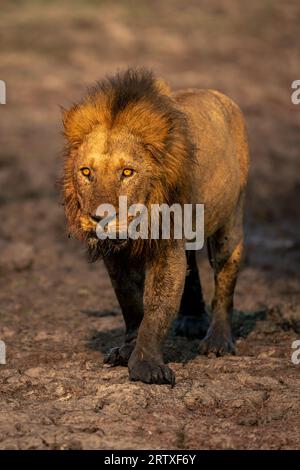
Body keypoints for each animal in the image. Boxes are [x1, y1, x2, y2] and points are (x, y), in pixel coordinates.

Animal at [62, 69, 250, 386]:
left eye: (127, 172)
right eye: (86, 172)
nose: (99, 217)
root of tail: (220, 96)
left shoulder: (167, 244)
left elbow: (157, 306)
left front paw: (146, 365)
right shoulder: (117, 256)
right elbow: (129, 302)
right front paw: (127, 350)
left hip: (231, 220)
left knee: (225, 277)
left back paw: (218, 341)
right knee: (192, 266)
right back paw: (192, 321)